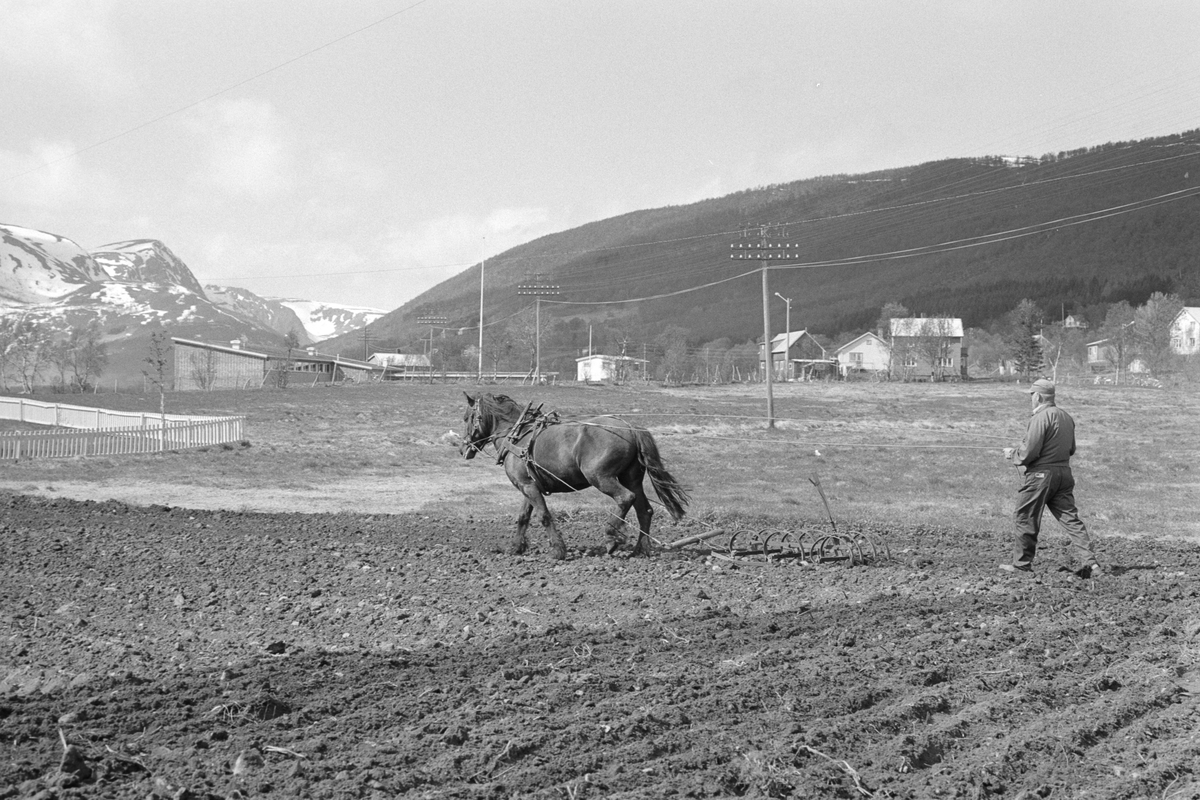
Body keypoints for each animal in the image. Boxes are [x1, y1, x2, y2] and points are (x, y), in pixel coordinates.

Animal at [458, 393, 691, 556]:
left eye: (467, 417)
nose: (463, 449)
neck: (517, 436)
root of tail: (631, 428)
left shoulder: (528, 487)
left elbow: (544, 515)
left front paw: (558, 550)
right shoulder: (528, 486)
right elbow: (523, 517)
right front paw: (515, 548)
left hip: (600, 477)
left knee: (625, 498)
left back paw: (611, 538)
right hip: (632, 478)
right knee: (645, 511)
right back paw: (640, 549)